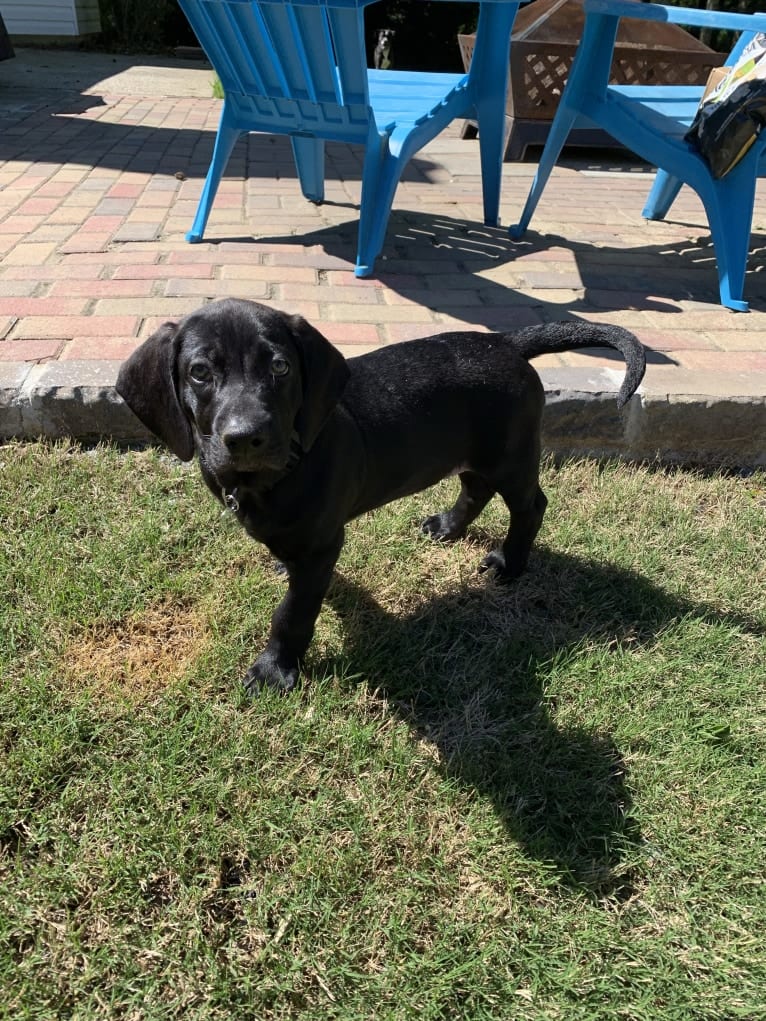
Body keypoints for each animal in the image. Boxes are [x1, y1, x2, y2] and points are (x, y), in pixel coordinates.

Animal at [118, 298, 649, 694]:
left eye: (281, 367)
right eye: (199, 372)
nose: (247, 437)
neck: (271, 478)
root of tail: (504, 341)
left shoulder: (323, 544)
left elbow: (293, 612)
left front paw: (275, 668)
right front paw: (282, 569)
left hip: (511, 454)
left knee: (530, 506)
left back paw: (509, 563)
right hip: (472, 452)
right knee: (474, 487)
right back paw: (447, 527)